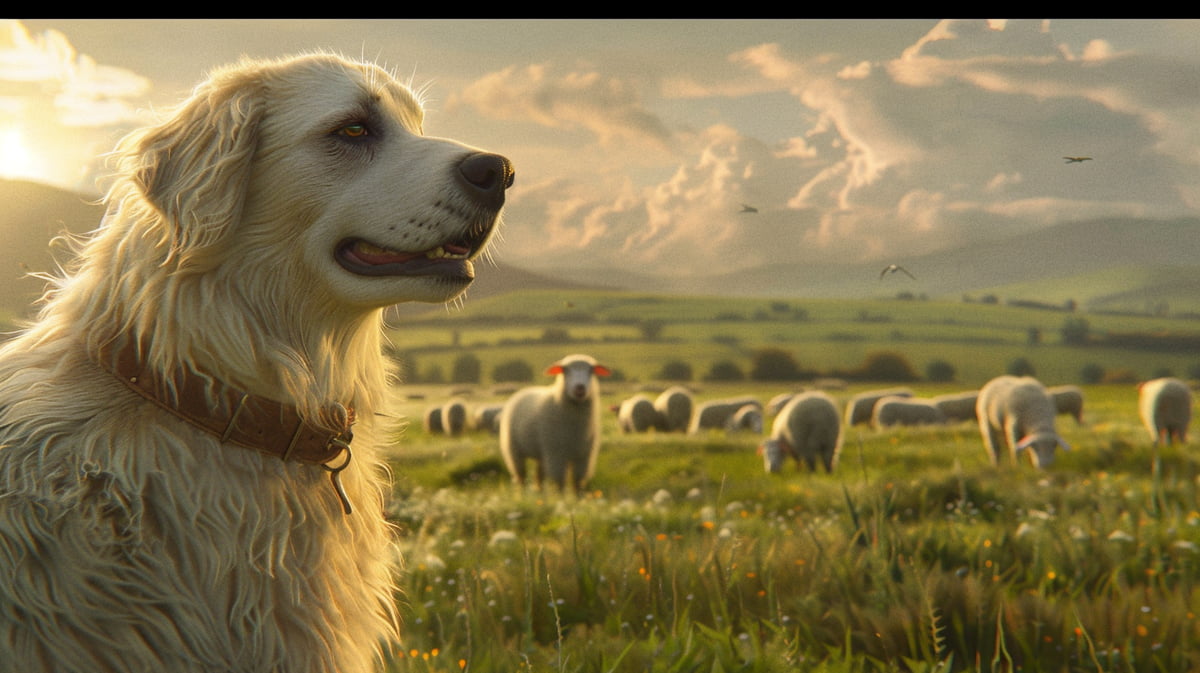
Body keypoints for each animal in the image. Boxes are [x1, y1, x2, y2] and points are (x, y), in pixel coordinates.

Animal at [496, 352, 609, 494]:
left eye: (591, 370)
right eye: (565, 370)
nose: (580, 388)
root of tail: (524, 390)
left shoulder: (584, 455)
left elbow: (577, 481)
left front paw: (578, 497)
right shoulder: (556, 453)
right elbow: (559, 481)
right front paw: (560, 496)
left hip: (542, 453)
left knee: (538, 475)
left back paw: (539, 492)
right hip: (513, 450)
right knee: (521, 475)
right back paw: (521, 494)